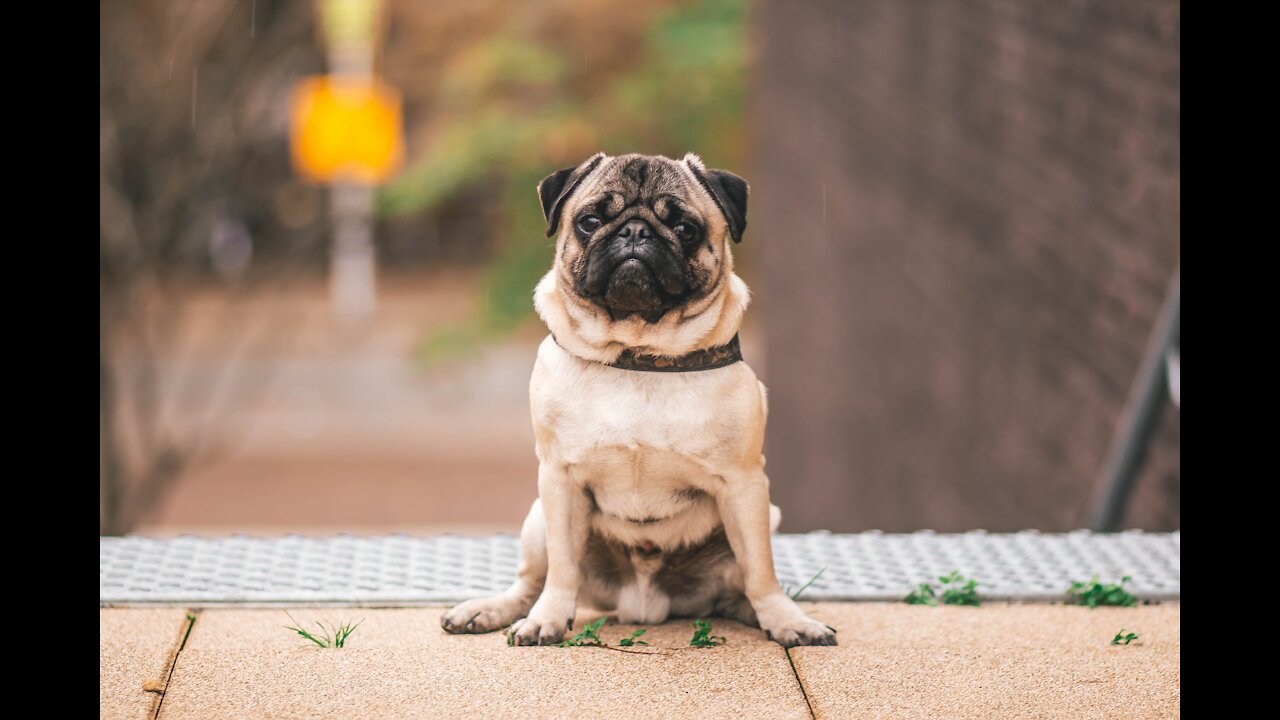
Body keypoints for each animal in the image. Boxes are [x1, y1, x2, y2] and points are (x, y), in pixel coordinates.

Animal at [440, 149, 839, 645]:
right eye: (590, 221)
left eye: (685, 229)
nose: (634, 231)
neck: (638, 355)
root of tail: (644, 603)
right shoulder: (558, 480)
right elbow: (563, 569)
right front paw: (548, 618)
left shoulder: (745, 484)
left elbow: (762, 571)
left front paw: (786, 619)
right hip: (536, 519)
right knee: (531, 581)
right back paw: (492, 610)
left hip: (766, 515)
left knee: (741, 585)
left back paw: (763, 613)